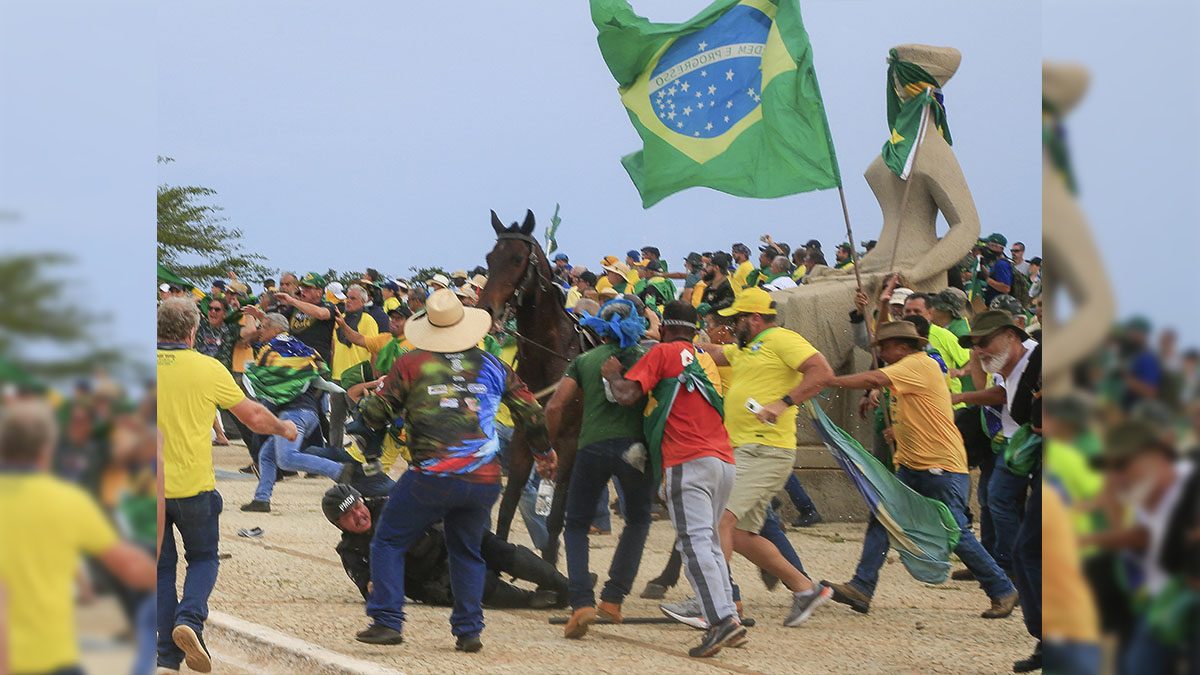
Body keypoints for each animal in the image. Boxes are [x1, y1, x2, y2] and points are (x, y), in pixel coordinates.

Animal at [477, 208, 590, 562]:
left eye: (517, 259)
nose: (486, 310)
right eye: (490, 258)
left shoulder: (568, 444)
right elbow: (507, 507)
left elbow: (554, 518)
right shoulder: (523, 439)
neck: (550, 355)